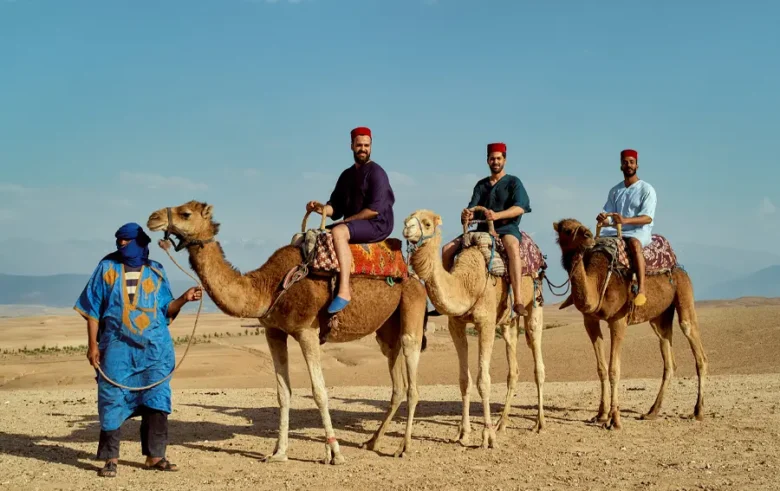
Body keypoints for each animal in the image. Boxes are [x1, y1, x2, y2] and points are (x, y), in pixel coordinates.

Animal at [146, 200, 426, 466]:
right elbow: (283, 393)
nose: (153, 218)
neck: (269, 287)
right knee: (397, 380)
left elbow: (319, 392)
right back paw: (372, 442)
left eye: (185, 213)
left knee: (412, 378)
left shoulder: (307, 330)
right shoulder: (274, 331)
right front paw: (279, 453)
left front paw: (335, 453)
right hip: (386, 329)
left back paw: (404, 447)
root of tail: (411, 274)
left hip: (413, 304)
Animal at [400, 208, 544, 450]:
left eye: (427, 223)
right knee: (513, 367)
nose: (406, 229)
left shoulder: (486, 324)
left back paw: (538, 424)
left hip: (535, 303)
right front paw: (463, 433)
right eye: (406, 219)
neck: (467, 283)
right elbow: (464, 380)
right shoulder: (456, 325)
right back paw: (502, 423)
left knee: (537, 358)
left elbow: (483, 380)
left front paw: (487, 437)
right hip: (507, 322)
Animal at [552, 219, 708, 430]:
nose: (588, 235)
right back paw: (652, 412)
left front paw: (615, 420)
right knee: (669, 359)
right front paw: (601, 415)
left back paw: (698, 411)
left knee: (695, 345)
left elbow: (614, 370)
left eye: (581, 225)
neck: (597, 282)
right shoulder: (589, 320)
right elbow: (601, 369)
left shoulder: (618, 321)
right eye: (567, 229)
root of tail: (677, 266)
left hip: (684, 292)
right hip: (660, 317)